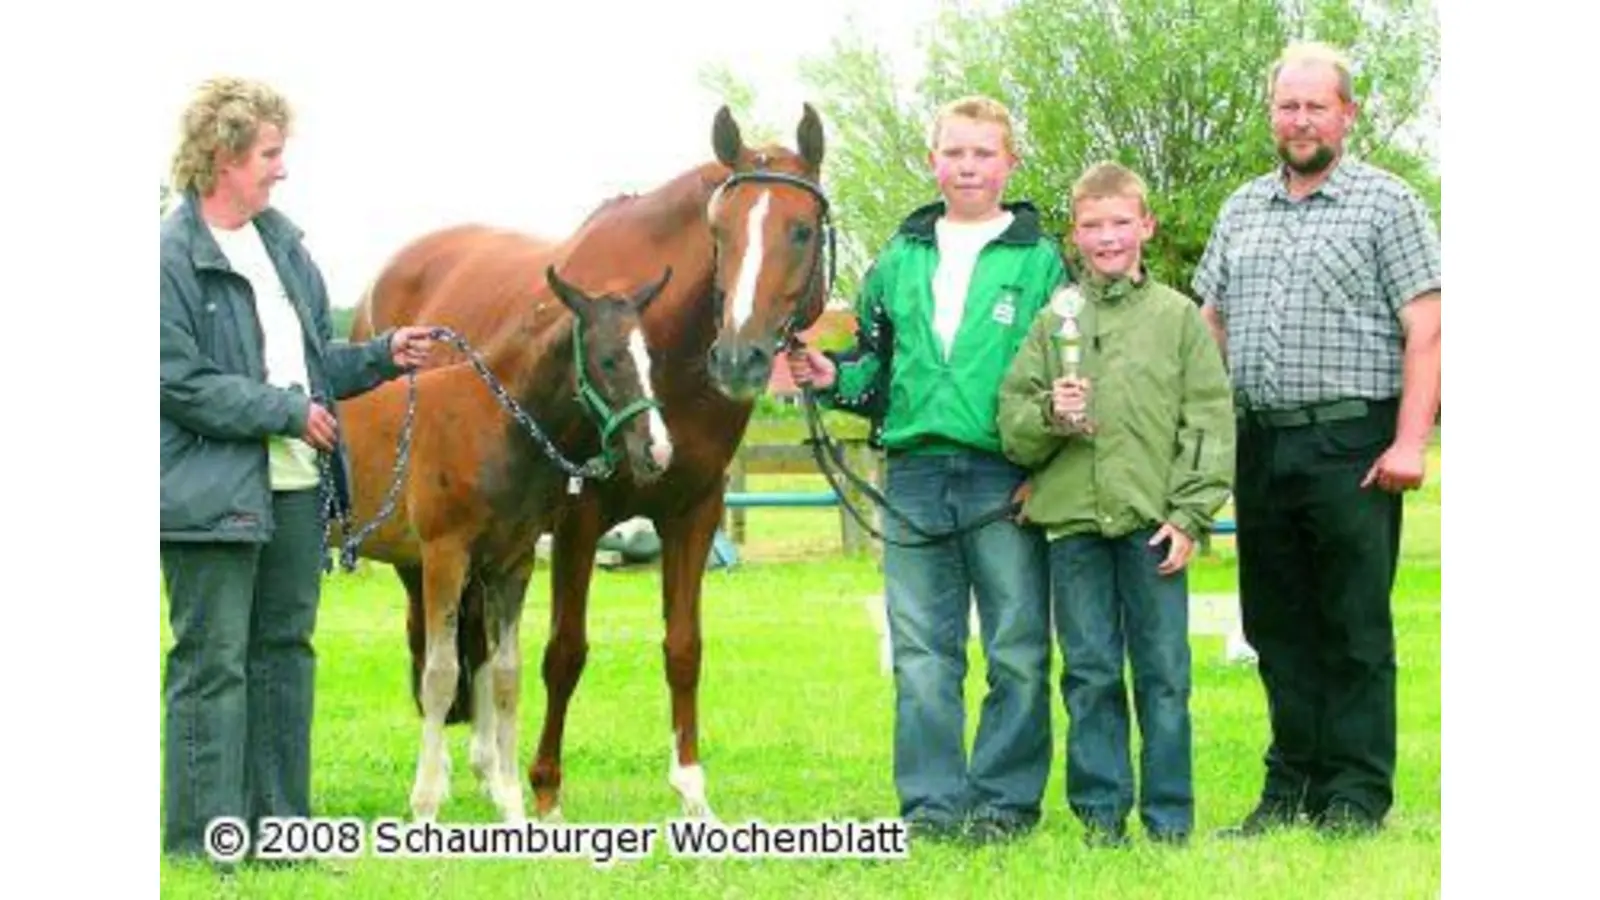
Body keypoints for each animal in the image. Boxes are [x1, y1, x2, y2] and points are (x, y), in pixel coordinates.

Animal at [337, 262, 676, 823]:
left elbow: (506, 676)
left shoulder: (510, 565)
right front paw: (425, 806)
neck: (494, 427)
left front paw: (513, 806)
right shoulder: (445, 556)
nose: (658, 451)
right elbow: (441, 675)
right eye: (609, 359)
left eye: (651, 357)